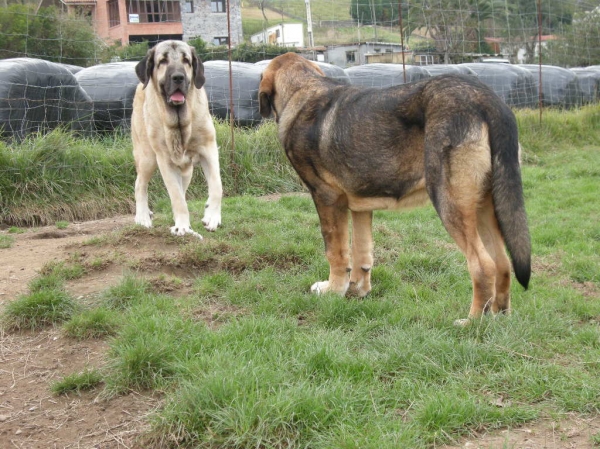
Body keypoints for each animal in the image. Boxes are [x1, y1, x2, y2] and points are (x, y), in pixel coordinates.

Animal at [132, 40, 223, 238]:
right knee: (140, 184)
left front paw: (212, 217)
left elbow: (217, 186)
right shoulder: (165, 161)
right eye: (162, 61)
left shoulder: (209, 150)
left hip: (186, 170)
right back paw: (142, 216)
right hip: (147, 158)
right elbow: (177, 198)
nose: (178, 77)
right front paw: (182, 226)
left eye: (186, 60)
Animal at [260, 52, 532, 320]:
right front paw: (357, 290)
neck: (302, 89)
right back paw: (498, 316)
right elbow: (362, 251)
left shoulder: (326, 197)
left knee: (483, 266)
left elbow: (335, 251)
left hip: (450, 202)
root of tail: (486, 98)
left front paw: (333, 291)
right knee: (502, 263)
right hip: (484, 206)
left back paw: (472, 322)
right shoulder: (359, 206)